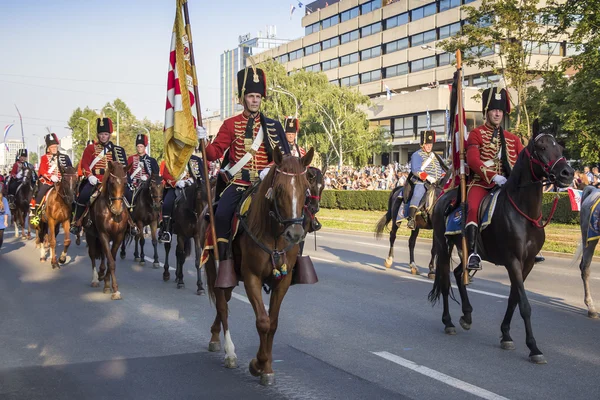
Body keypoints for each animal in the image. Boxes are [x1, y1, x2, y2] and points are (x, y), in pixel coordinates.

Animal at [85, 161, 129, 298]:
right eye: (111, 183)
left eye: (125, 183)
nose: (117, 209)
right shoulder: (103, 234)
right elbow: (111, 261)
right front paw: (114, 288)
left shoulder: (119, 236)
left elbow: (112, 258)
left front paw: (107, 284)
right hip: (90, 234)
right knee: (92, 254)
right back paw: (95, 279)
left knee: (103, 254)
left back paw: (101, 273)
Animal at [204, 146, 314, 384]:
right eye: (279, 188)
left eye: (306, 188)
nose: (295, 234)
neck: (272, 234)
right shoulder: (251, 277)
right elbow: (262, 321)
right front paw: (257, 364)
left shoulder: (283, 281)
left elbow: (272, 323)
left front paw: (267, 367)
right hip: (215, 268)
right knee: (222, 305)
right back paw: (229, 351)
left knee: (225, 301)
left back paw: (216, 335)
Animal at [428, 121, 576, 362]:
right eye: (542, 148)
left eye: (560, 148)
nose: (567, 173)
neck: (524, 213)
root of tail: (444, 197)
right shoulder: (512, 260)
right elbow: (524, 304)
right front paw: (533, 347)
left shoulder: (527, 263)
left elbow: (514, 298)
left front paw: (506, 334)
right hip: (443, 246)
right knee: (444, 280)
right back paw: (448, 321)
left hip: (468, 251)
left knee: (459, 274)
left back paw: (467, 315)